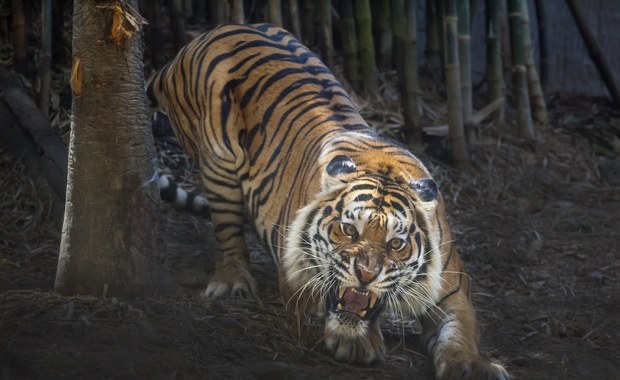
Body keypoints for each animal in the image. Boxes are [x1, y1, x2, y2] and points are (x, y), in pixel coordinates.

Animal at [148, 22, 512, 378]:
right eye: (348, 230)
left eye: (396, 244)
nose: (365, 275)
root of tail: (210, 33)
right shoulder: (298, 279)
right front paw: (356, 343)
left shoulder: (453, 294)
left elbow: (460, 334)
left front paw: (473, 366)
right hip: (217, 160)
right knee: (227, 232)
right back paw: (233, 283)